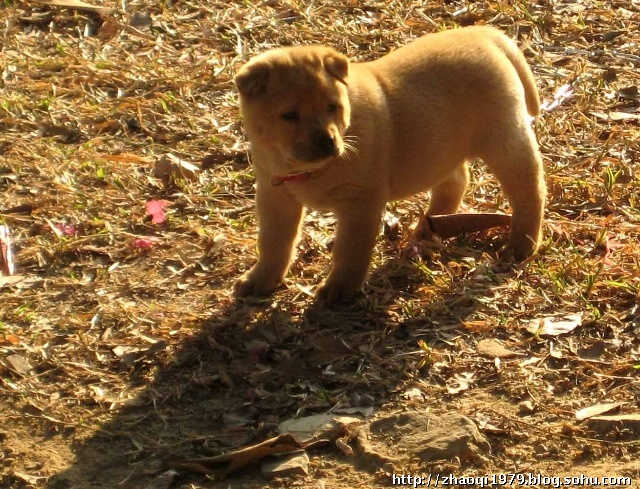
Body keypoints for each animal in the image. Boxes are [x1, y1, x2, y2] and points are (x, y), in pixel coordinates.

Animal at [235, 25, 544, 304]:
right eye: (289, 115)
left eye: (332, 106)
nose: (327, 142)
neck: (306, 170)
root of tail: (483, 32)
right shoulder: (275, 197)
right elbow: (274, 244)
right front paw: (260, 279)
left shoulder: (360, 203)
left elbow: (350, 250)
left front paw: (339, 288)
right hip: (441, 146)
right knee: (456, 181)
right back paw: (427, 230)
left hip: (504, 141)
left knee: (530, 191)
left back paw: (521, 246)